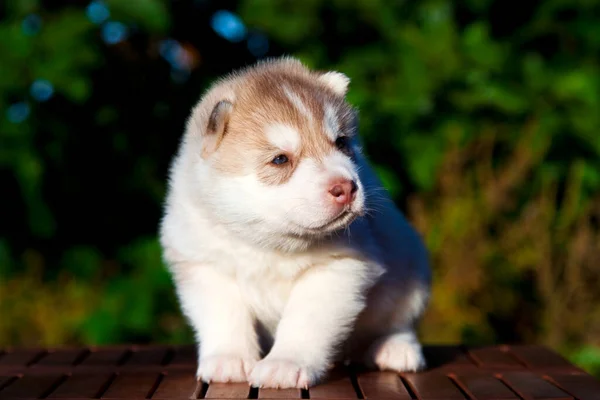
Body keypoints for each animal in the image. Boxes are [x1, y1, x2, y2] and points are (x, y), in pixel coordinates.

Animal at [158, 55, 432, 388]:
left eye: (341, 142)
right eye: (280, 159)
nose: (346, 188)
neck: (268, 242)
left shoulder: (337, 269)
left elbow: (304, 322)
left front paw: (285, 364)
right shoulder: (204, 266)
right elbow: (225, 317)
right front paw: (229, 360)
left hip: (411, 268)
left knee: (398, 322)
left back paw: (396, 348)